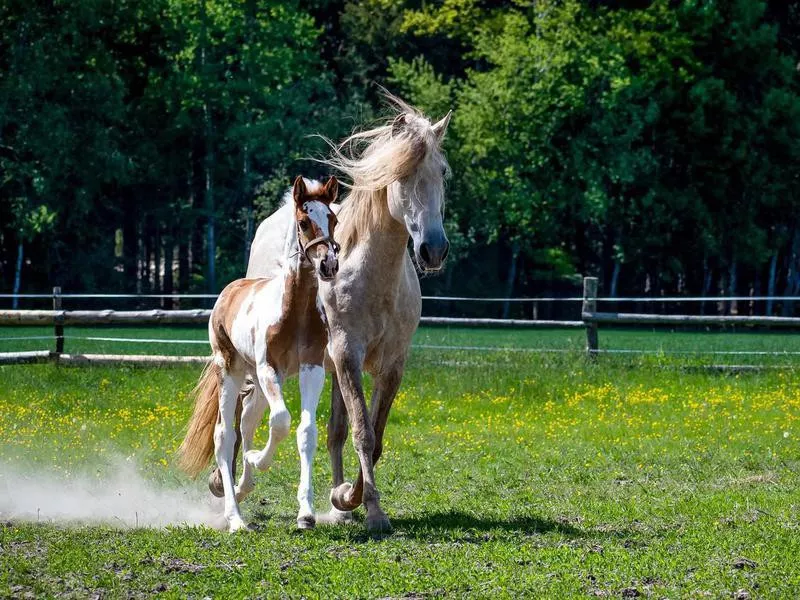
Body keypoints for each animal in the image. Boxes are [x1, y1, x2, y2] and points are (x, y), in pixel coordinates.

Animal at [180, 176, 340, 532]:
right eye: (303, 221)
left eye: (334, 220)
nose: (329, 265)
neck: (294, 312)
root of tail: (229, 290)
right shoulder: (271, 369)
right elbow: (281, 422)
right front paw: (256, 459)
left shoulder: (312, 369)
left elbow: (305, 431)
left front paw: (306, 513)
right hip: (231, 370)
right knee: (225, 435)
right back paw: (235, 518)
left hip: (256, 383)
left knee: (247, 422)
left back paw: (243, 490)